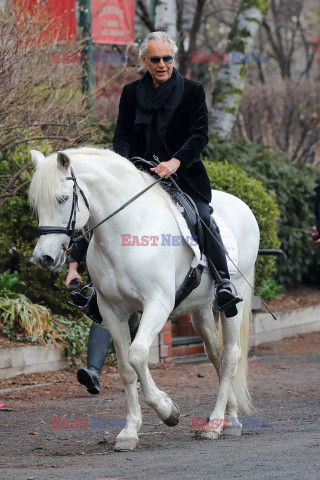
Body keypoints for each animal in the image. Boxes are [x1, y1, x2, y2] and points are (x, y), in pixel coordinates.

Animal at [28, 146, 260, 450]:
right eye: (35, 203)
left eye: (62, 198)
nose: (44, 258)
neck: (126, 232)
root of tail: (243, 206)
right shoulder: (111, 310)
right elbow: (127, 367)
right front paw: (130, 432)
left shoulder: (158, 305)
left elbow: (138, 355)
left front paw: (167, 410)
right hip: (199, 310)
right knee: (216, 354)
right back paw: (230, 419)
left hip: (234, 300)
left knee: (230, 355)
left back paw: (215, 424)